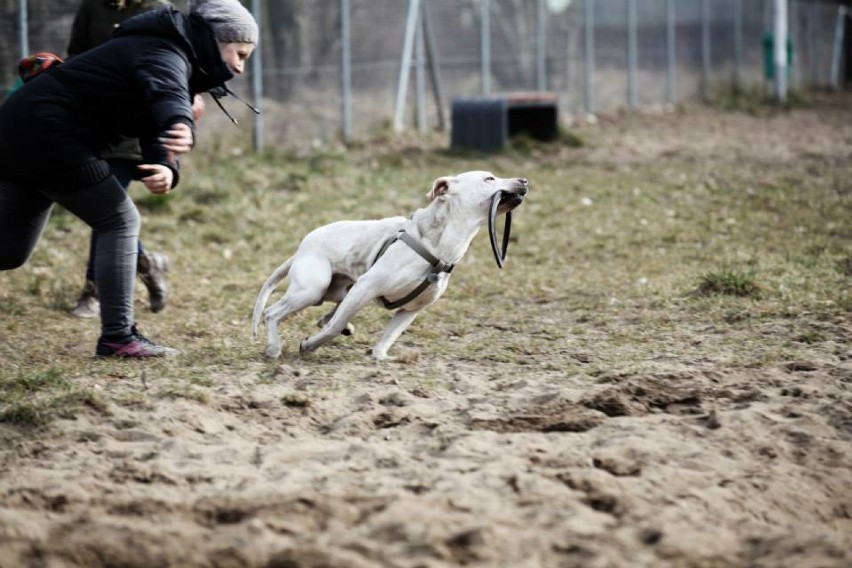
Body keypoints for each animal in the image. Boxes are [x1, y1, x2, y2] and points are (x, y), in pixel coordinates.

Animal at [250, 171, 524, 362]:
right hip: (312, 290)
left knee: (329, 312)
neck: (439, 245)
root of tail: (301, 249)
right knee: (272, 312)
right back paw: (274, 348)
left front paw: (382, 357)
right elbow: (332, 328)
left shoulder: (410, 310)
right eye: (489, 178)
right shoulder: (366, 286)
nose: (524, 180)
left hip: (337, 291)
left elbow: (388, 336)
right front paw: (309, 345)